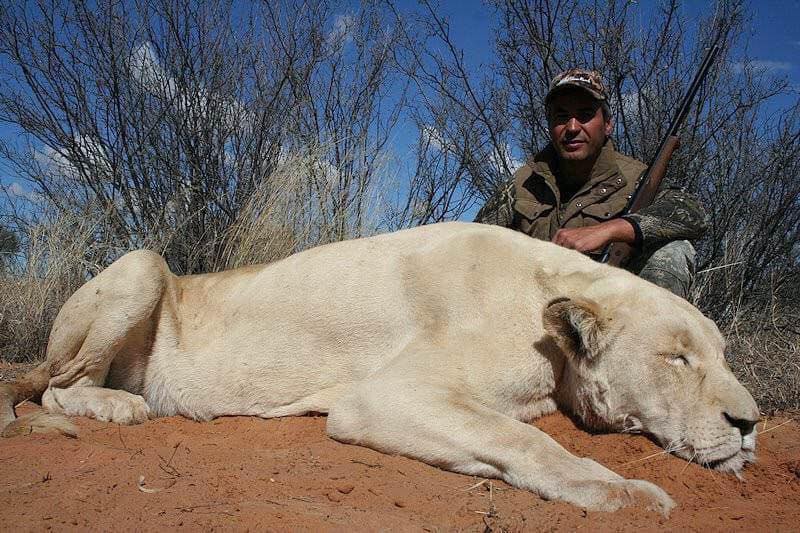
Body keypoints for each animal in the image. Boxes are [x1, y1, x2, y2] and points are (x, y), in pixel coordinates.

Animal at [0, 221, 756, 516]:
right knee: (56, 388)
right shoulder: (383, 395)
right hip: (142, 264)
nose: (750, 424)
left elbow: (519, 431)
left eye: (722, 355)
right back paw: (119, 406)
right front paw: (631, 492)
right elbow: (523, 439)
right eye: (678, 357)